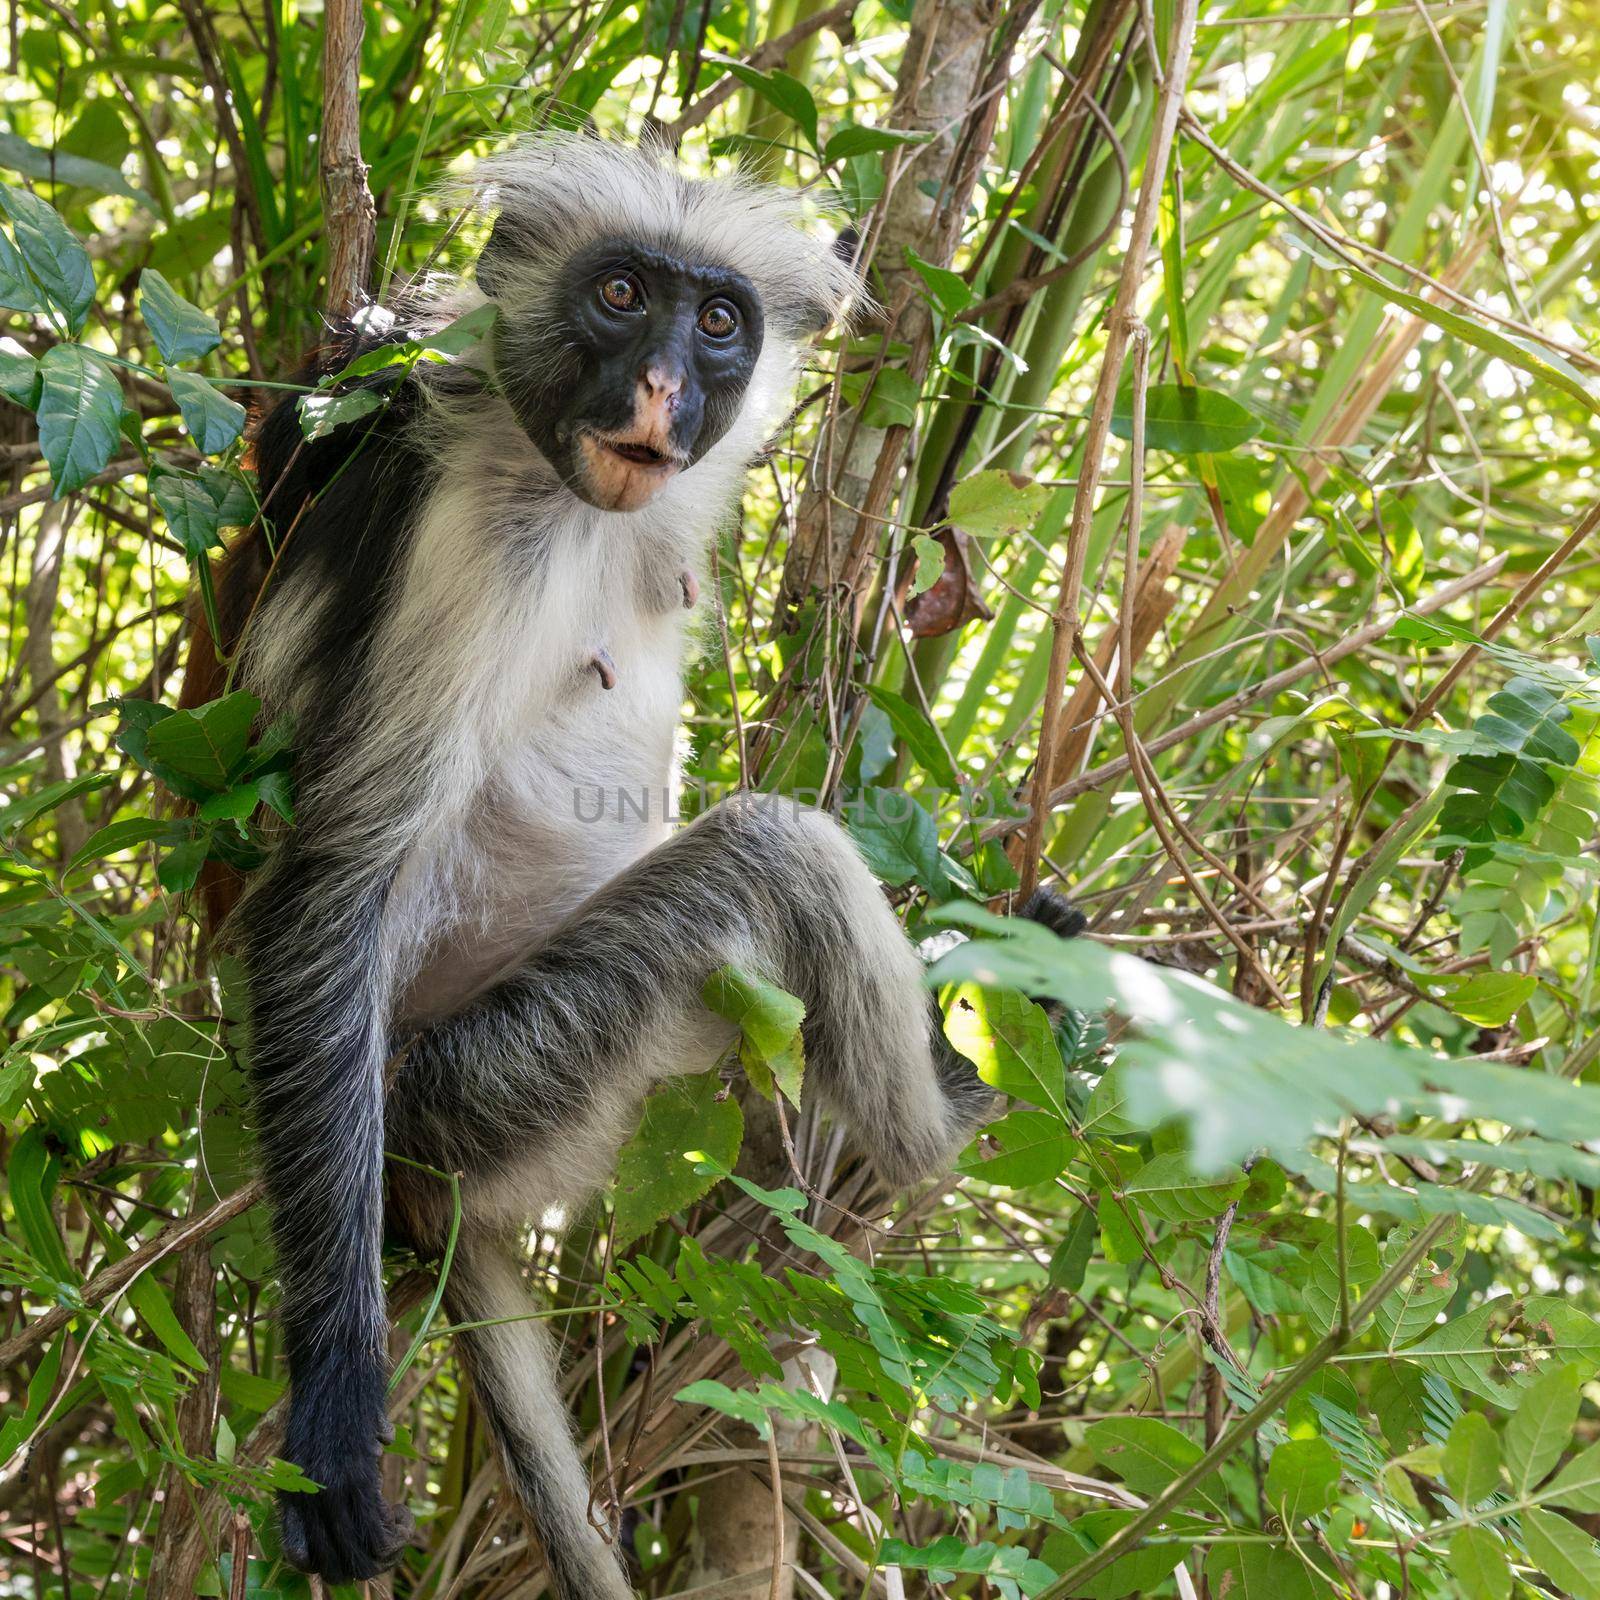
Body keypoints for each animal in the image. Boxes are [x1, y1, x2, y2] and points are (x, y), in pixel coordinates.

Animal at [203, 140, 1075, 1600]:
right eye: (620, 295)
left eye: (717, 320)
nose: (666, 383)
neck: (572, 498)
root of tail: (417, 1177)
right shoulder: (471, 535)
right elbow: (338, 882)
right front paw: (333, 1395)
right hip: (507, 1072)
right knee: (776, 845)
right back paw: (951, 1107)